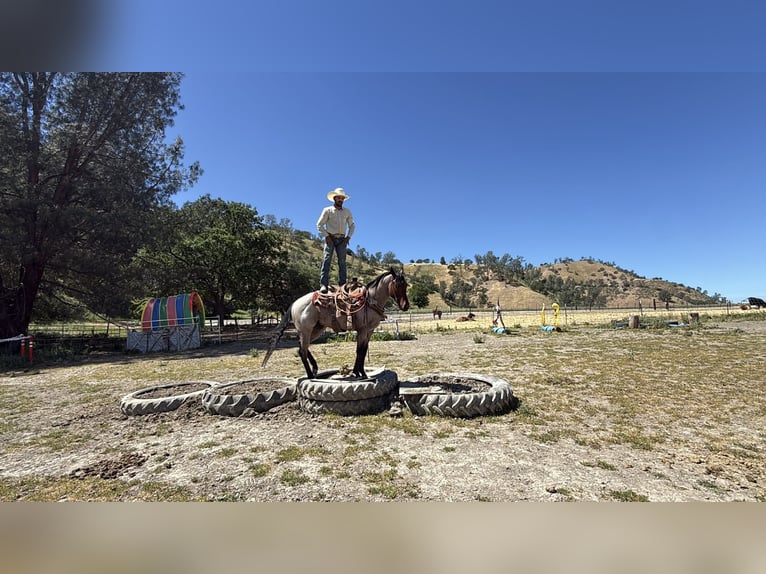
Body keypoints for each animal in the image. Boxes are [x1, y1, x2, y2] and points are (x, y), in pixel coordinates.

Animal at [261, 268, 410, 379]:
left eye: (406, 285)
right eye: (397, 284)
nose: (406, 306)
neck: (370, 301)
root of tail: (294, 303)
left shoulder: (369, 331)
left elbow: (363, 350)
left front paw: (359, 372)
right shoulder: (362, 330)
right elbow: (360, 350)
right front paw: (360, 373)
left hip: (316, 329)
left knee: (301, 347)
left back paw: (315, 369)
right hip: (306, 330)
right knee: (302, 351)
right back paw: (311, 376)